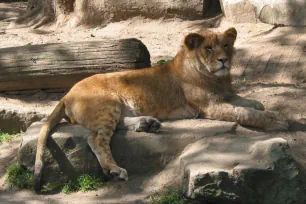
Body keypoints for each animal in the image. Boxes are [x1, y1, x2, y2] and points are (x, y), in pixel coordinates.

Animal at [32, 27, 286, 192]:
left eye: (226, 46)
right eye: (208, 48)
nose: (224, 60)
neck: (217, 78)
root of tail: (67, 94)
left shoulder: (227, 95)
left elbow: (246, 102)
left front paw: (260, 105)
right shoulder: (210, 106)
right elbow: (243, 112)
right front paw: (275, 120)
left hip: (116, 108)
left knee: (116, 127)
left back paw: (148, 123)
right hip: (108, 104)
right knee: (96, 139)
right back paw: (115, 169)